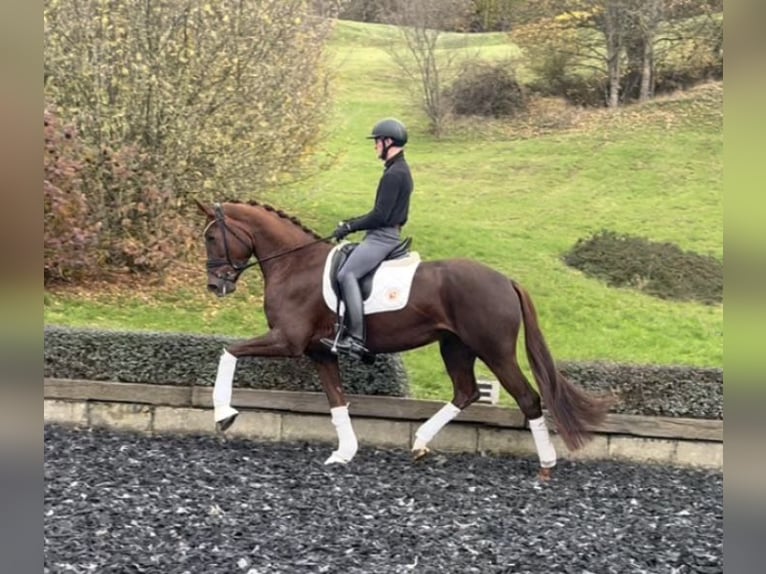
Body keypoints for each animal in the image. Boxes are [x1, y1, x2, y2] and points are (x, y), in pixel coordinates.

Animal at [197, 199, 611, 480]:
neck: (295, 264)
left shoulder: (288, 341)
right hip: (455, 347)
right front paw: (344, 453)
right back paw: (420, 442)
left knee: (527, 398)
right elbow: (337, 401)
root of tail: (505, 280)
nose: (216, 286)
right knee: (466, 392)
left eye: (213, 237)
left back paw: (546, 465)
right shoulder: (320, 353)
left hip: (495, 351)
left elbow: (228, 352)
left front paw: (224, 416)